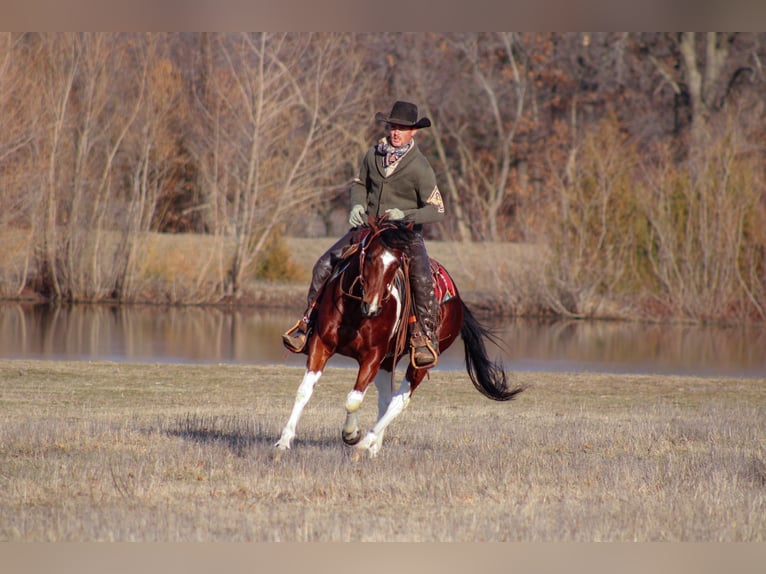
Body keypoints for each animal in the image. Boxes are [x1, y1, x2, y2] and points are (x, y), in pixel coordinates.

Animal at [278, 218, 528, 462]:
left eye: (397, 264)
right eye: (370, 257)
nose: (372, 306)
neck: (355, 311)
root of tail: (458, 301)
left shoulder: (372, 357)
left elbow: (354, 399)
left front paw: (351, 434)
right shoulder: (321, 345)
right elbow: (304, 391)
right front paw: (284, 441)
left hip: (420, 362)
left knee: (400, 400)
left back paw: (364, 444)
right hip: (389, 361)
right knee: (386, 399)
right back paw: (373, 447)